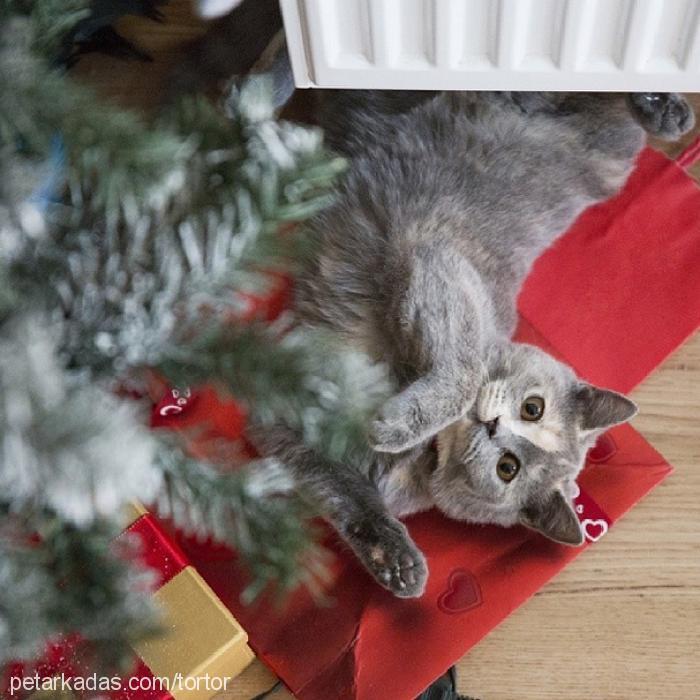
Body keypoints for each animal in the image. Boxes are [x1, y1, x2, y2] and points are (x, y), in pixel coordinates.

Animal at [253, 90, 696, 600]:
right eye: (533, 408)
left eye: (508, 468)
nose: (492, 425)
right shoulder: (438, 263)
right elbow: (464, 372)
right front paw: (394, 424)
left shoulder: (292, 435)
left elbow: (348, 495)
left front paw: (398, 565)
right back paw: (668, 109)